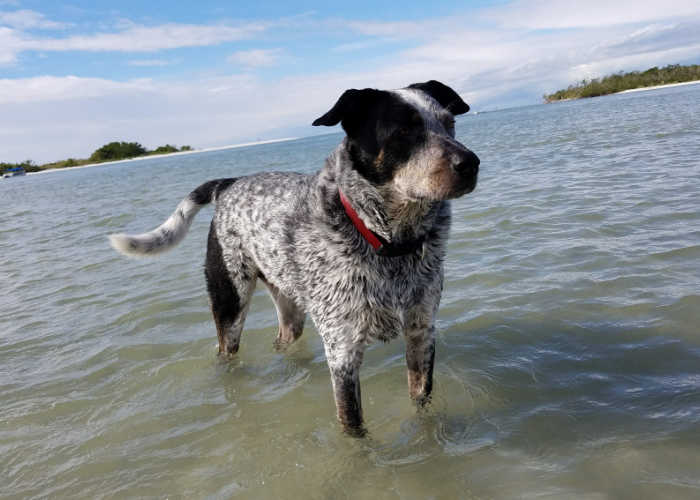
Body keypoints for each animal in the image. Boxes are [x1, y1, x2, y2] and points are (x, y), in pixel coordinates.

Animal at [109, 80, 478, 436]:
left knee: (282, 339)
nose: (470, 163)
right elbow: (354, 429)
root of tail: (228, 185)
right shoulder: (342, 351)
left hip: (289, 307)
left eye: (450, 123)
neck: (387, 242)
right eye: (403, 131)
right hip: (229, 302)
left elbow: (421, 402)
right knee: (226, 350)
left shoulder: (421, 333)